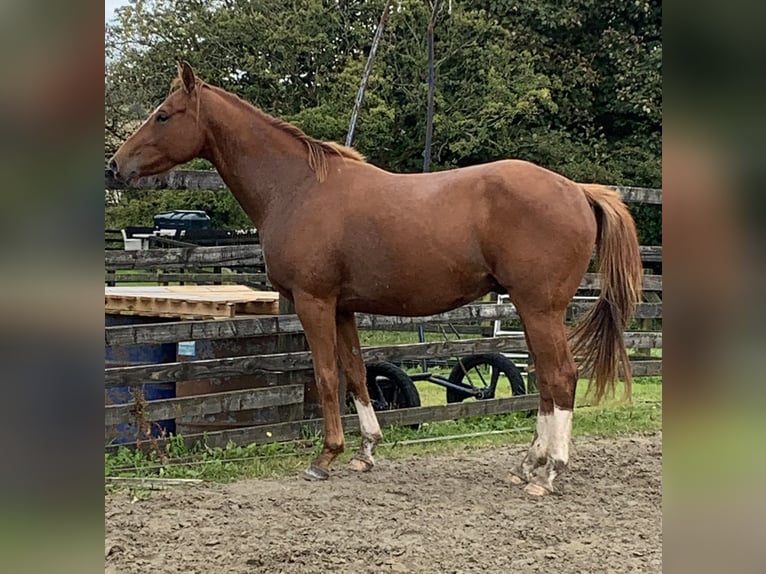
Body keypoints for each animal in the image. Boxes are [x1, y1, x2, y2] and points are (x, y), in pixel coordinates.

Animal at [108, 62, 644, 496]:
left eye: (164, 115)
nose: (116, 165)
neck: (298, 187)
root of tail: (577, 191)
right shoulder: (343, 306)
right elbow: (356, 373)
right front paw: (366, 450)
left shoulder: (314, 302)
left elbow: (326, 375)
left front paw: (325, 457)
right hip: (533, 312)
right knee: (548, 384)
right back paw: (528, 465)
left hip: (539, 309)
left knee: (561, 378)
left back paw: (549, 473)